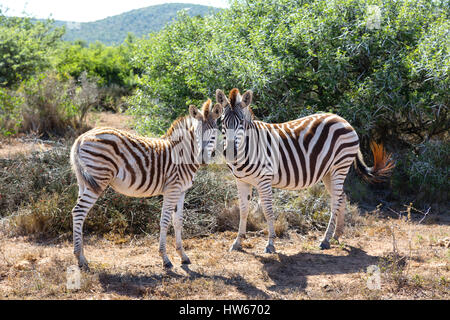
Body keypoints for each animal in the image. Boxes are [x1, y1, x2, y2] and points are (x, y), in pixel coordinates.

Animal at [69, 99, 222, 268]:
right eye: (197, 134)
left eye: (213, 135)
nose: (203, 159)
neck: (183, 154)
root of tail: (81, 137)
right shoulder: (172, 189)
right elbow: (165, 221)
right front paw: (165, 259)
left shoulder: (181, 191)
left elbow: (178, 221)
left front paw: (183, 256)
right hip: (98, 178)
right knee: (79, 211)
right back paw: (80, 259)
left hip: (84, 181)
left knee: (80, 213)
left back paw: (81, 256)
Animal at [215, 89, 394, 254]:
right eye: (222, 121)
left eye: (241, 123)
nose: (230, 152)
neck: (249, 147)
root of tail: (343, 120)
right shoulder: (241, 180)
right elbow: (243, 210)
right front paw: (238, 242)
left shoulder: (264, 180)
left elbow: (267, 211)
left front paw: (270, 244)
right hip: (328, 172)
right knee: (341, 198)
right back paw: (336, 235)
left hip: (340, 166)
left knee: (336, 201)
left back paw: (325, 240)